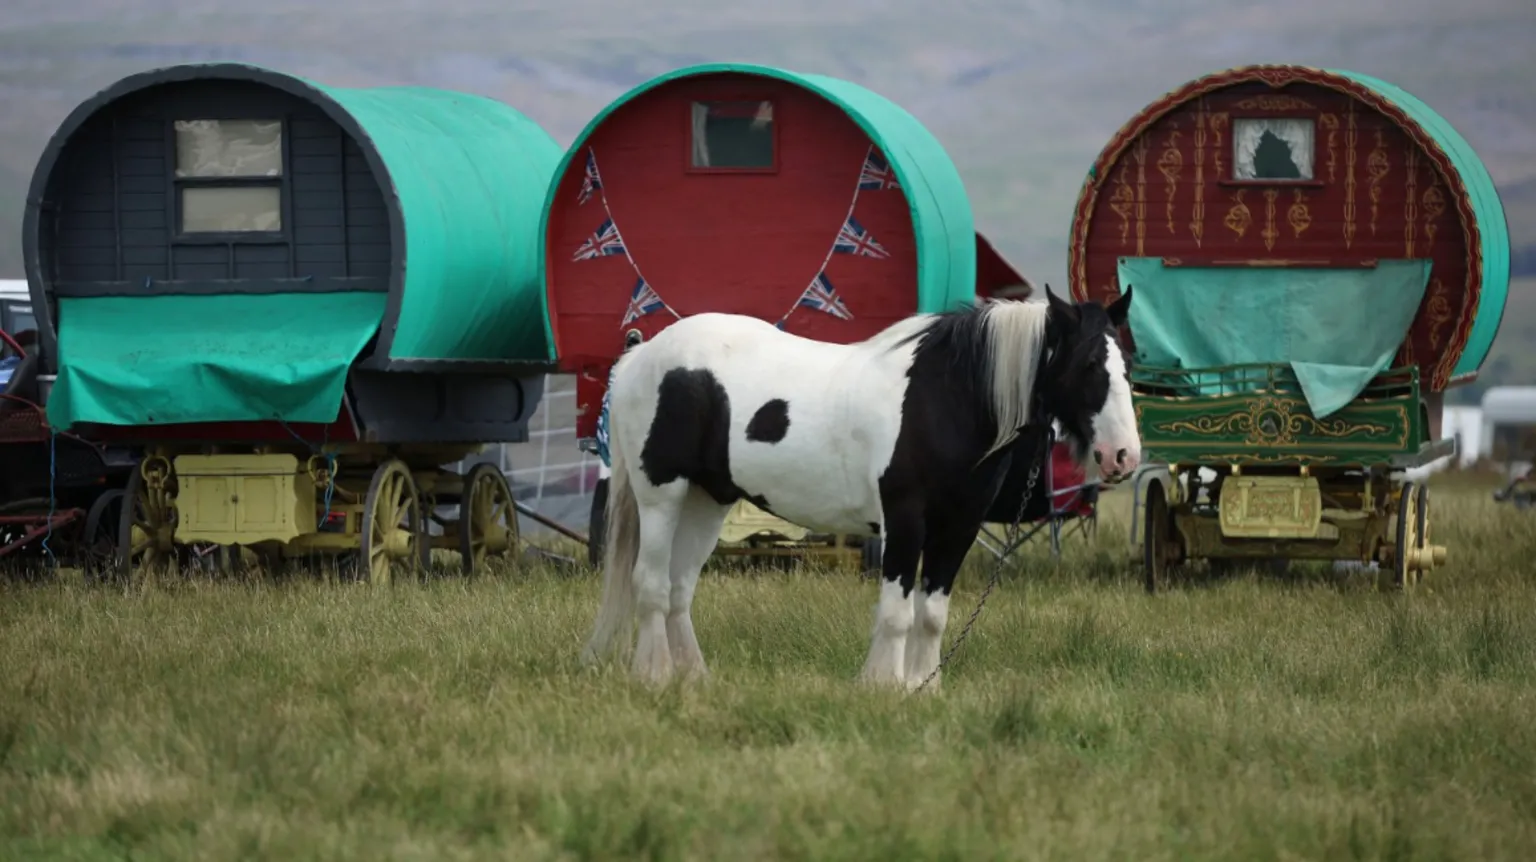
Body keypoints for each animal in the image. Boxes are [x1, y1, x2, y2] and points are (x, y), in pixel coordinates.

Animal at [580, 286, 1139, 690]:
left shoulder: (958, 527)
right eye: (1089, 365)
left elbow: (932, 614)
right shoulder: (905, 519)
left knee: (679, 589)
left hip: (706, 501)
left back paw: (693, 678)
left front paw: (923, 688)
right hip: (662, 496)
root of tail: (639, 355)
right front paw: (883, 686)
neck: (944, 398)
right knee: (651, 584)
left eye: (1127, 366)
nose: (1124, 456)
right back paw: (653, 676)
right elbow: (896, 610)